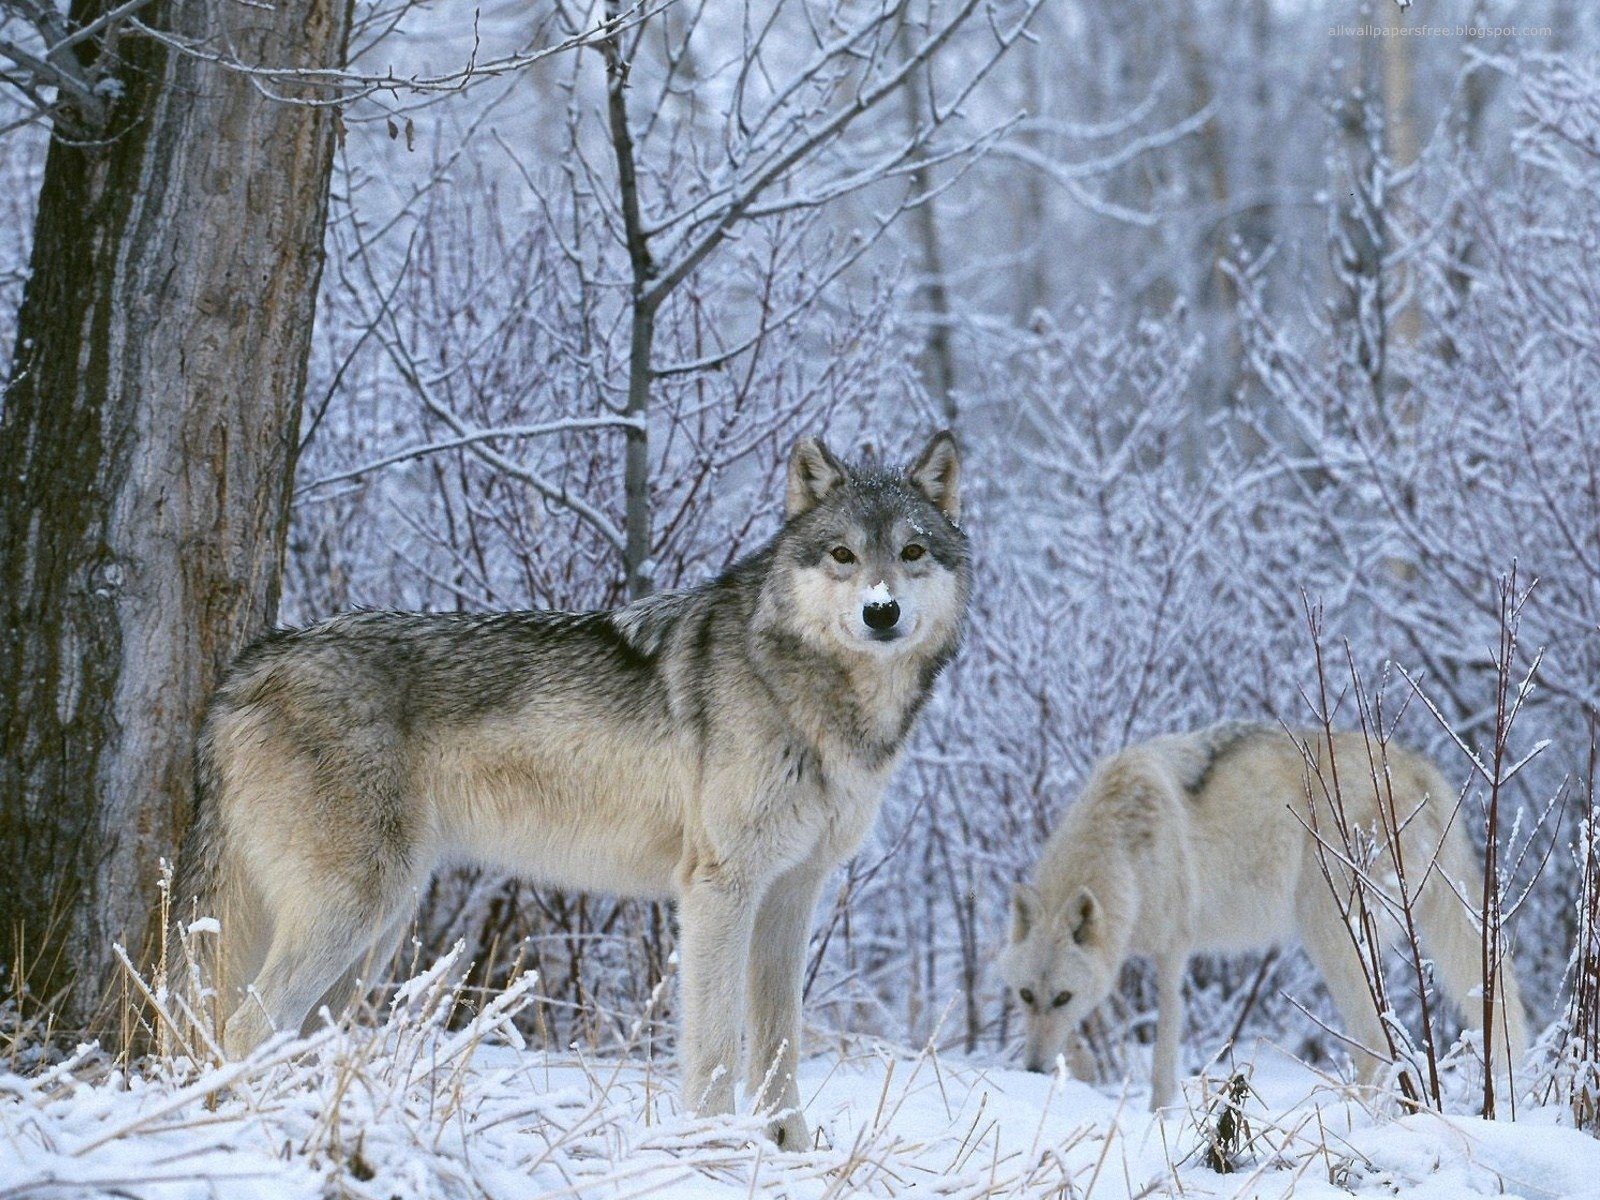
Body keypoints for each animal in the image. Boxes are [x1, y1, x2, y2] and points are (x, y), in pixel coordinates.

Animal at [172, 431, 969, 1148]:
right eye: (843, 555)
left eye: (911, 553)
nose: (880, 612)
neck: (817, 698)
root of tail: (247, 667)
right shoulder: (719, 888)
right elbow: (715, 1047)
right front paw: (712, 1150)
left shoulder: (791, 895)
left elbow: (779, 1050)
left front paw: (789, 1153)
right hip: (356, 911)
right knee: (245, 1023)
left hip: (377, 931)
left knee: (293, 1034)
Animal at [1000, 722, 1527, 1109]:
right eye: (1026, 995)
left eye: (1061, 997)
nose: (1031, 1068)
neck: (1125, 848)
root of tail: (1417, 766)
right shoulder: (1116, 959)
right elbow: (1088, 1035)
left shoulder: (1172, 954)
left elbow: (1162, 1058)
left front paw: (1157, 1117)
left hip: (1330, 936)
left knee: (1376, 1043)